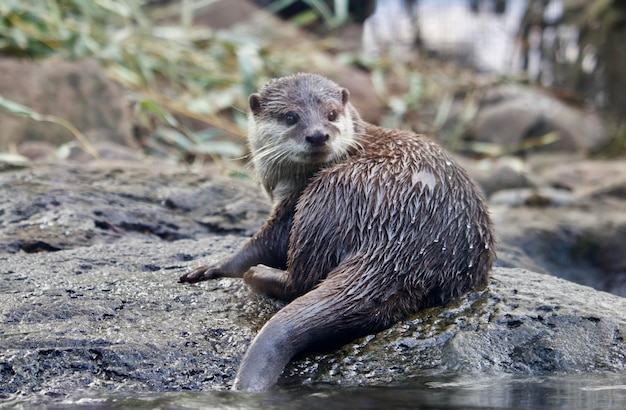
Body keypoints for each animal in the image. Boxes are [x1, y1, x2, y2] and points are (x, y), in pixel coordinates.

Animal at [178, 72, 494, 392]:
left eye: (331, 114)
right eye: (291, 117)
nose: (318, 135)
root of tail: (404, 245)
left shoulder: (291, 204)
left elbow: (263, 243)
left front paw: (214, 267)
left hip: (324, 197)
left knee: (300, 280)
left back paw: (260, 274)